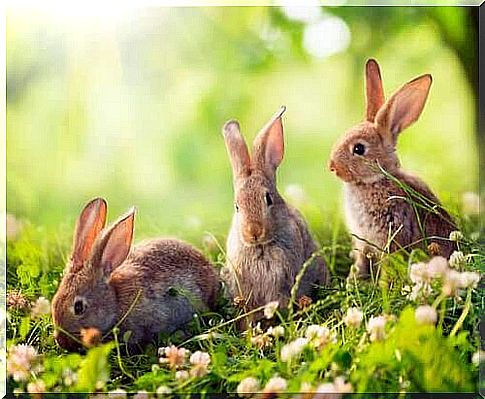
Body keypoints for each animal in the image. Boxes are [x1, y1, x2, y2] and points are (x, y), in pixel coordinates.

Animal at [328, 59, 456, 278]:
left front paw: (381, 284)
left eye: (359, 149)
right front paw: (354, 278)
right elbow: (362, 260)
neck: (377, 179)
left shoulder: (392, 231)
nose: (332, 167)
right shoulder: (363, 242)